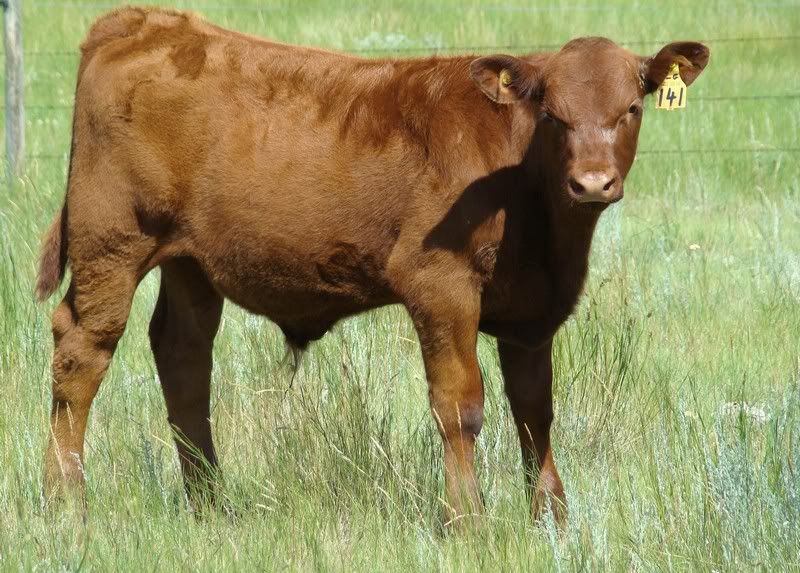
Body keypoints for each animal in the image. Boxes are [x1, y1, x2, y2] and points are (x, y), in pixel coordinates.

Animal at [35, 6, 709, 525]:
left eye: (631, 109)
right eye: (552, 114)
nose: (592, 182)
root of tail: (148, 21)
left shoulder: (532, 313)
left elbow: (534, 412)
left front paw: (551, 519)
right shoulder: (439, 284)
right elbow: (460, 406)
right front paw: (467, 522)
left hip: (190, 263)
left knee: (183, 359)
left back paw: (210, 506)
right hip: (111, 242)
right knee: (82, 351)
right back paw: (66, 503)